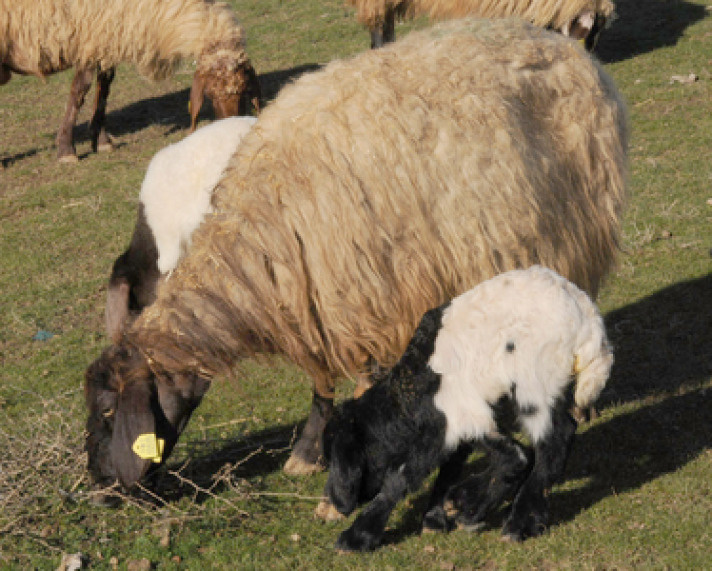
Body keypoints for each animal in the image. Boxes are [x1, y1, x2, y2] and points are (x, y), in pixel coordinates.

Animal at [0, 0, 262, 162]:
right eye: (210, 92)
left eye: (244, 90)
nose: (230, 122)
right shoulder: (91, 38)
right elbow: (80, 91)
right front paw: (66, 150)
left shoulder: (106, 41)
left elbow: (104, 89)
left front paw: (101, 140)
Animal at [320, 266, 616, 552]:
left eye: (334, 456)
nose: (334, 502)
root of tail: (590, 325)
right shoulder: (458, 423)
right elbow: (454, 465)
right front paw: (444, 515)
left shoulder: (455, 417)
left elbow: (404, 475)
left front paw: (356, 537)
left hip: (533, 384)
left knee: (554, 439)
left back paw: (520, 522)